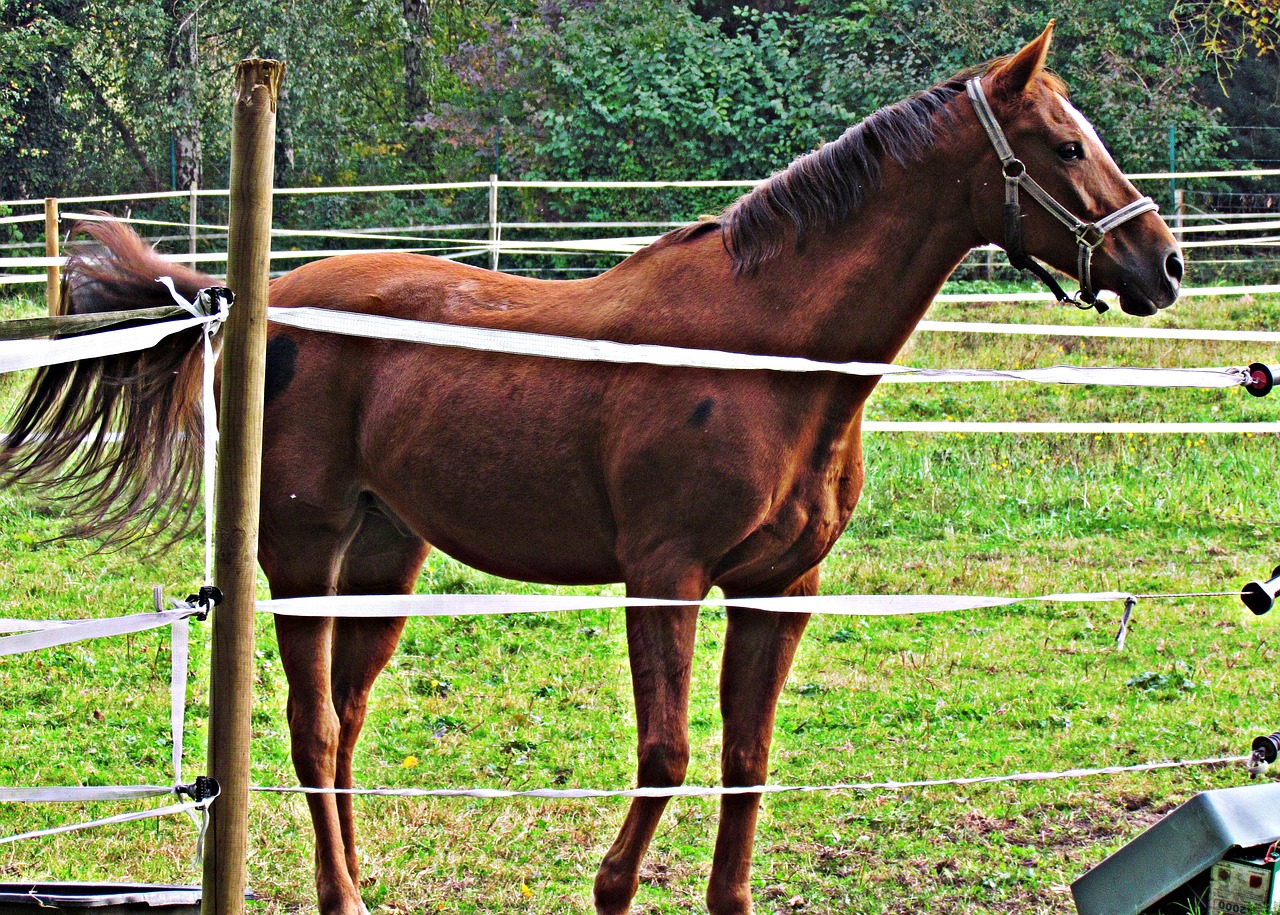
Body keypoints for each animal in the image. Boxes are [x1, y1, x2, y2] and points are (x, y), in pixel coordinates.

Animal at [2, 25, 1177, 915]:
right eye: (1063, 147)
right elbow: (667, 751)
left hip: (384, 556)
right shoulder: (665, 575)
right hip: (302, 553)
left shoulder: (779, 588)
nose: (1160, 264)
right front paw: (612, 889)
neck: (764, 350)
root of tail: (258, 302)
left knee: (344, 726)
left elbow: (745, 758)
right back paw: (341, 895)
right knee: (314, 725)